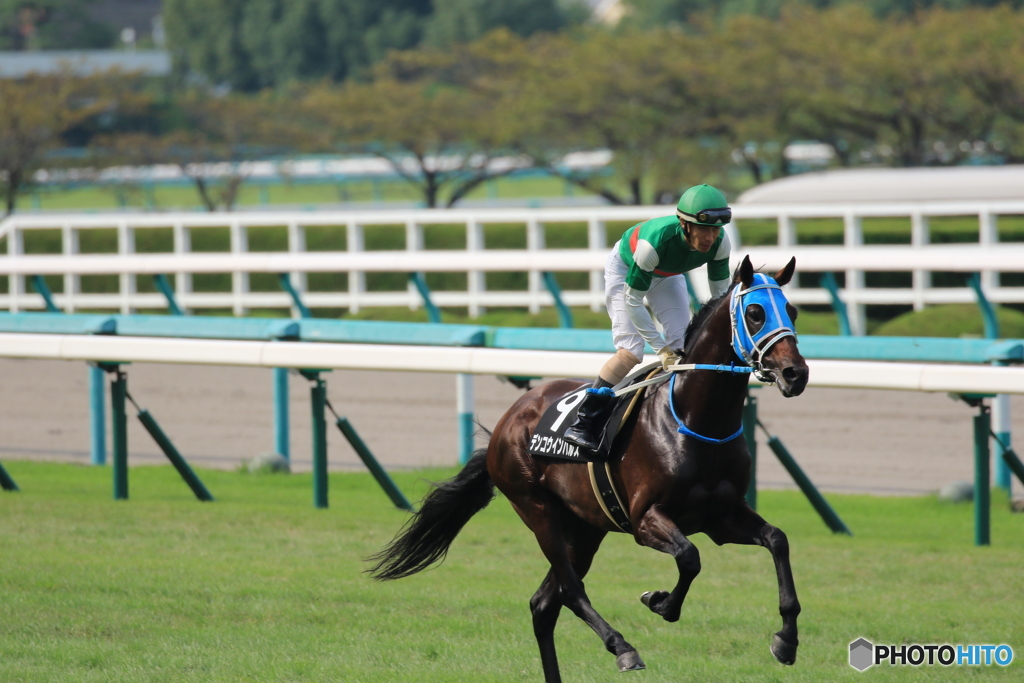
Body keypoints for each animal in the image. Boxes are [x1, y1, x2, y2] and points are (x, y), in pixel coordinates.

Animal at [368, 258, 806, 683]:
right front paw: (660, 602)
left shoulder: (721, 517)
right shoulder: (646, 520)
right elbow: (689, 556)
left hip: (585, 528)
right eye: (754, 313)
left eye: (793, 311)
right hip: (538, 510)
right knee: (570, 590)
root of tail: (506, 422)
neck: (696, 420)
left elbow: (778, 539)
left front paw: (786, 640)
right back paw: (623, 648)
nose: (795, 373)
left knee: (544, 604)